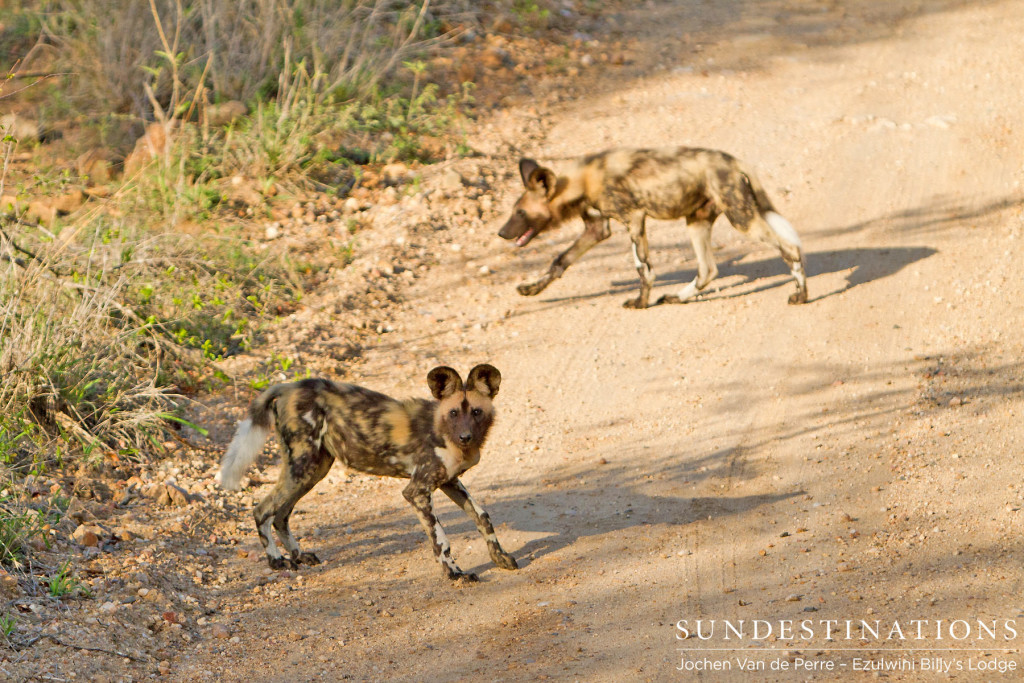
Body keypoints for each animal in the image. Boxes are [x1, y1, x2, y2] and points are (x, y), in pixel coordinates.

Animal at [217, 362, 520, 581]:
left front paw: (500, 558)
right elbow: (441, 540)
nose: (465, 437)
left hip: (313, 469)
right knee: (262, 509)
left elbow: (482, 517)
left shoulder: (449, 481)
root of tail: (289, 386)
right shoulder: (417, 491)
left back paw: (299, 555)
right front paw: (455, 574)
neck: (443, 429)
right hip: (303, 467)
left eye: (477, 412)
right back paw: (276, 560)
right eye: (454, 413)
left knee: (280, 514)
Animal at [497, 149, 806, 309]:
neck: (581, 182)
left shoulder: (633, 219)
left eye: (520, 213)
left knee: (790, 249)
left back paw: (802, 296)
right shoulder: (597, 229)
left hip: (741, 218)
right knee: (707, 270)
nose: (501, 233)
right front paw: (531, 289)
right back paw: (677, 298)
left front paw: (640, 302)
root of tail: (733, 160)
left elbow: (643, 270)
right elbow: (559, 261)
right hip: (697, 221)